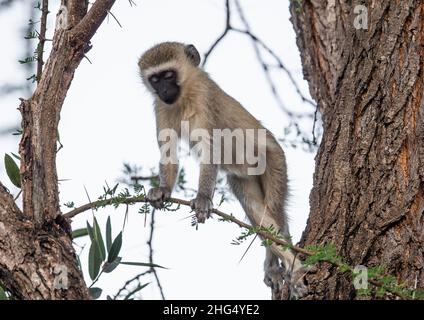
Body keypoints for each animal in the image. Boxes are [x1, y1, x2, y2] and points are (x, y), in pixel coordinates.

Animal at [139, 42, 308, 298]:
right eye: (155, 79)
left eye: (169, 75)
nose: (165, 90)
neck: (184, 95)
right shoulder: (160, 106)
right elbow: (168, 152)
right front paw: (163, 190)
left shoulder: (204, 98)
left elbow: (211, 149)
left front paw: (202, 198)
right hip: (244, 179)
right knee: (256, 210)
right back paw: (276, 265)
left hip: (275, 162)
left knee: (275, 209)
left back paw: (293, 267)